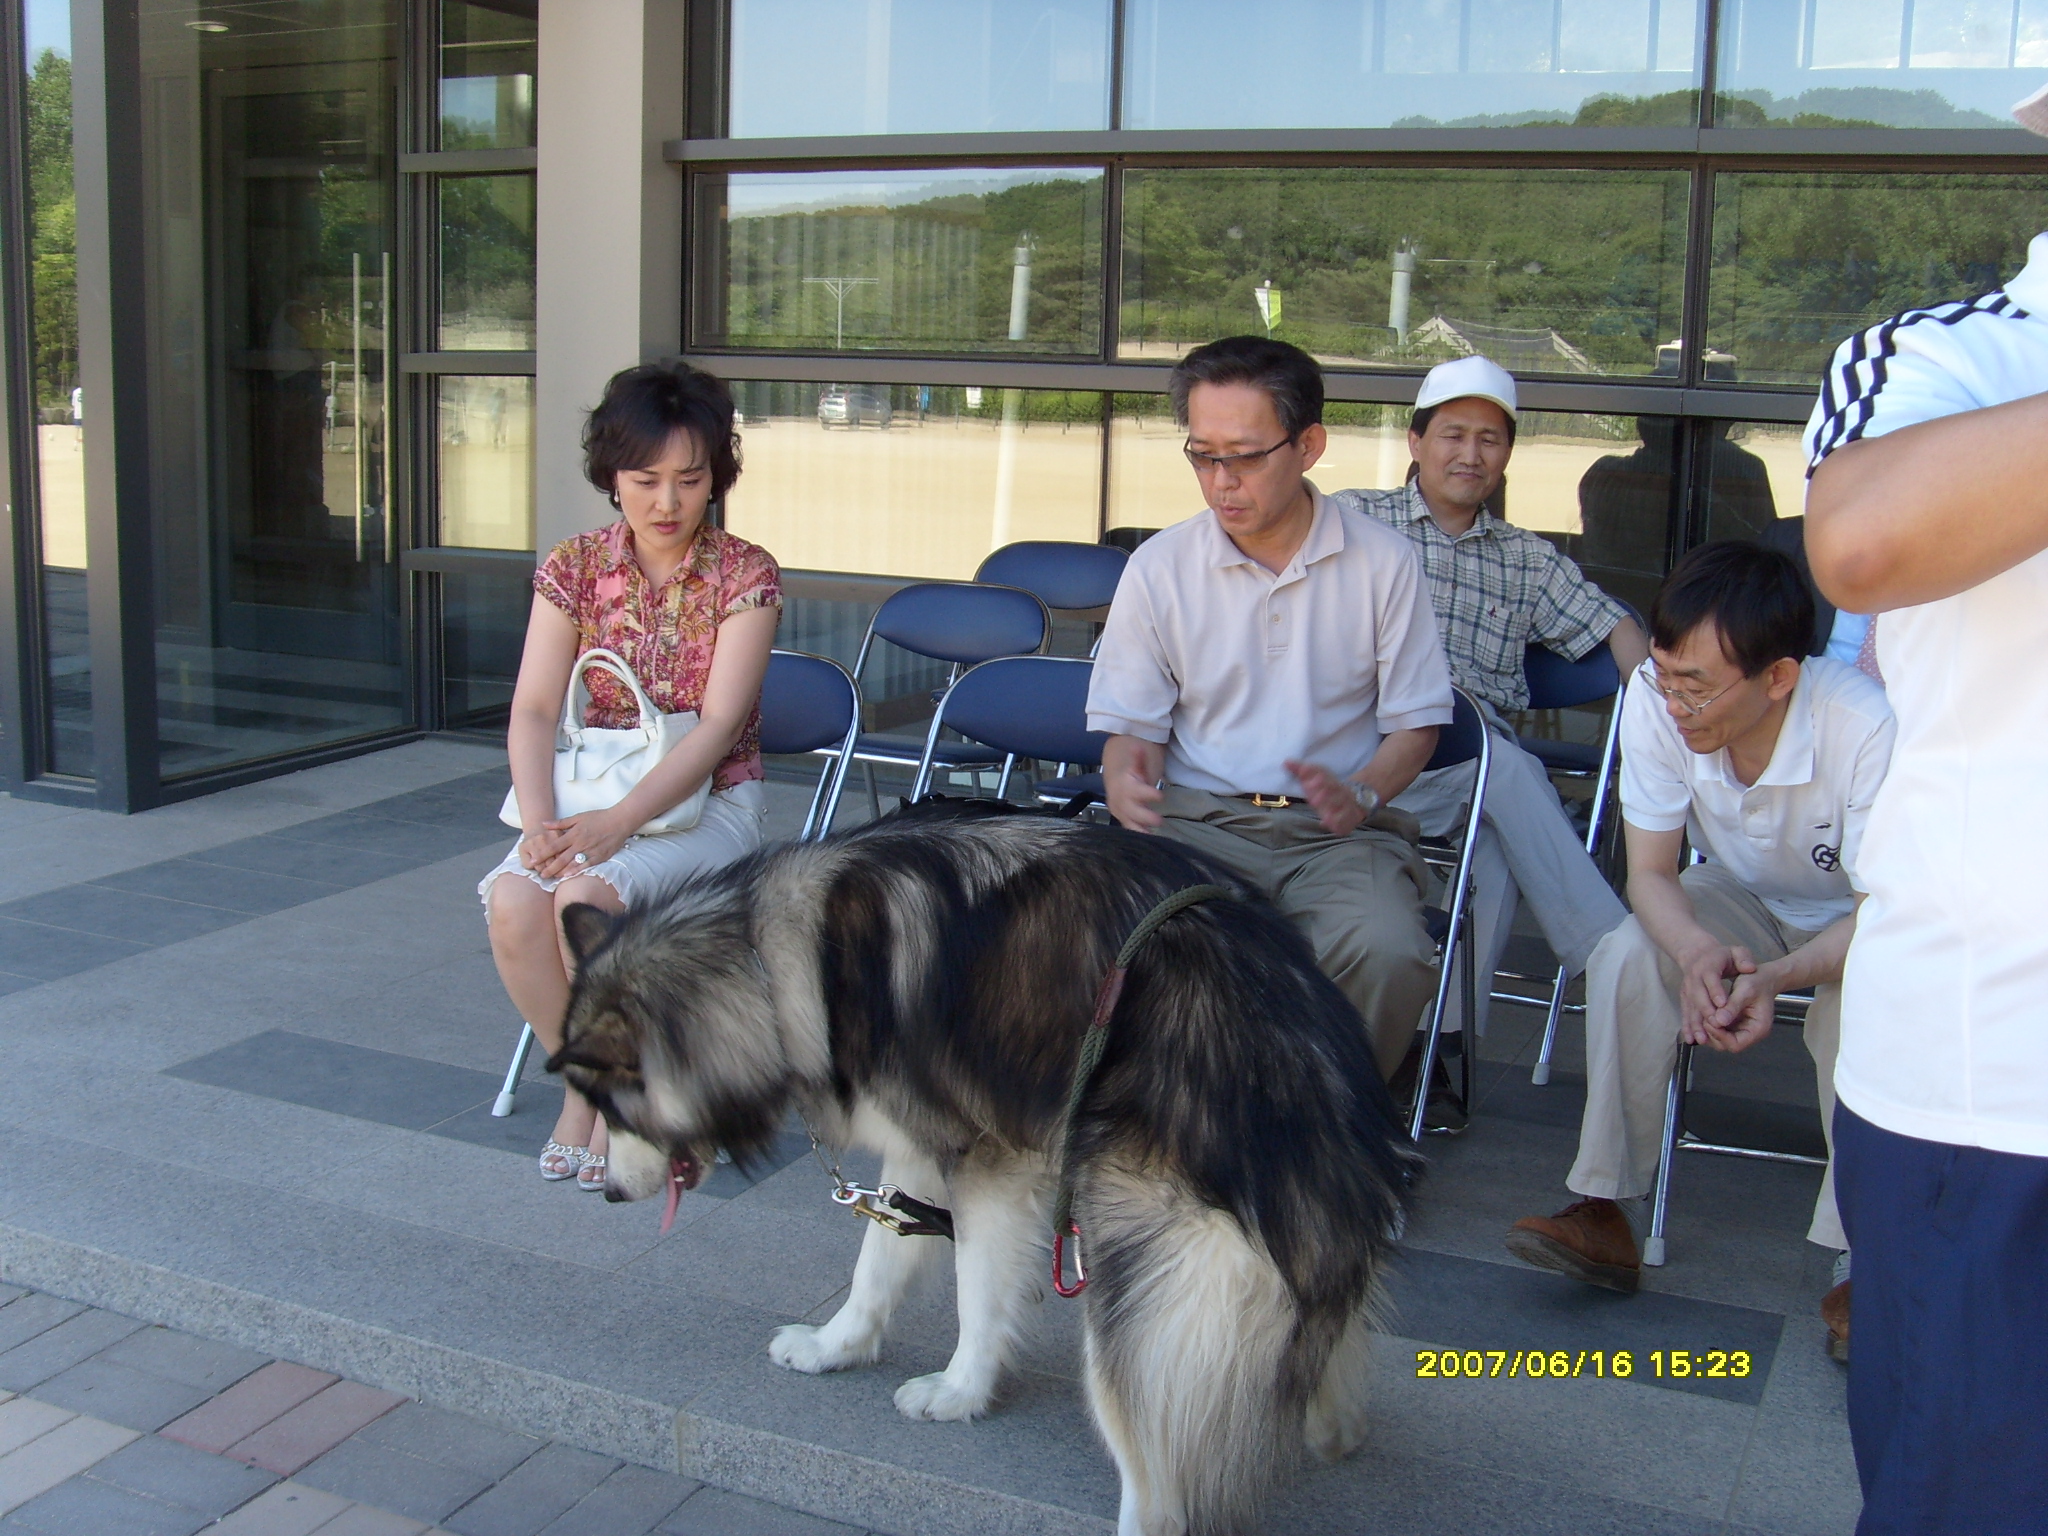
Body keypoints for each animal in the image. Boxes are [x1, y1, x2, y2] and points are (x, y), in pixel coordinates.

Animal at [549, 801, 1414, 1536]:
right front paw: (836, 1347)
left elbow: (976, 1289)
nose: (610, 1195)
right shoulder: (917, 1152)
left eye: (609, 1106)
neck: (776, 958)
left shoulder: (990, 1163)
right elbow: (877, 1265)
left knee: (1158, 1485)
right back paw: (1331, 1419)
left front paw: (959, 1391)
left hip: (1137, 1272)